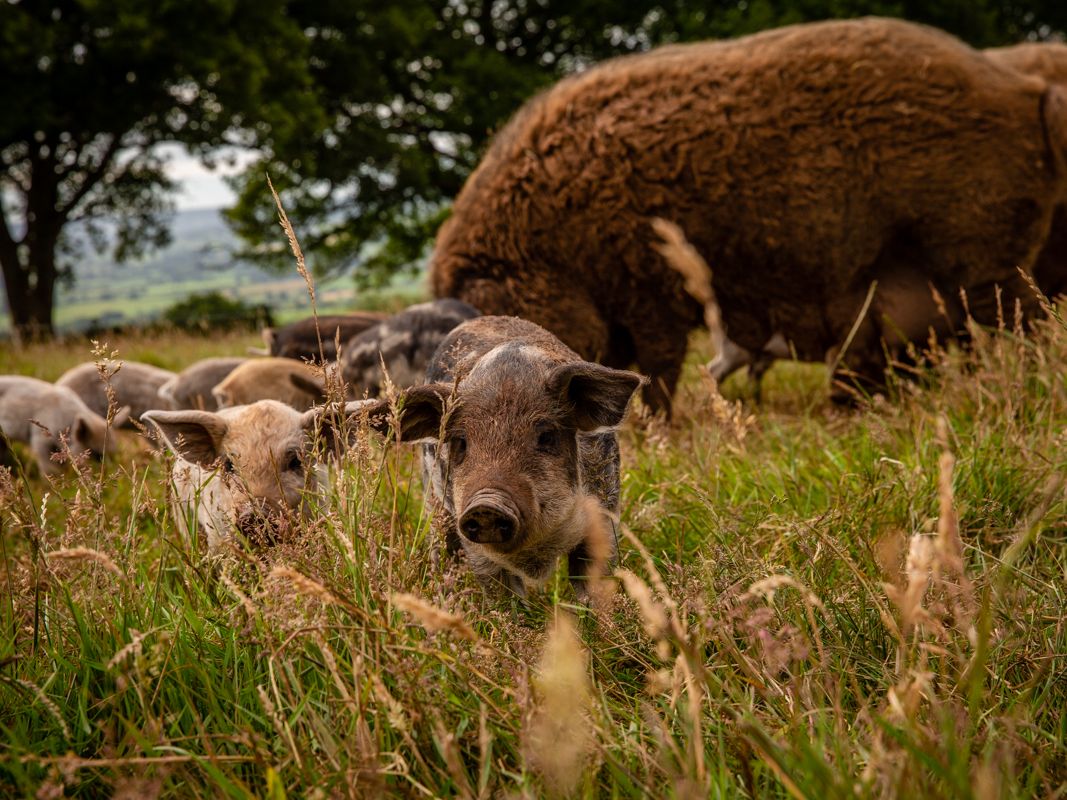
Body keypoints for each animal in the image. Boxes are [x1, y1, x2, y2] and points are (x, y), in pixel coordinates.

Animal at [369, 316, 643, 597]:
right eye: (461, 442)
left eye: (546, 436)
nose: (486, 505)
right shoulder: (475, 544)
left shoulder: (605, 513)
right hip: (434, 501)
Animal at [430, 18, 1067, 413]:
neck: (555, 244)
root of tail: (1025, 90)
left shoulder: (651, 289)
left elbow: (657, 366)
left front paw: (657, 427)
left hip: (980, 253)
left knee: (1025, 322)